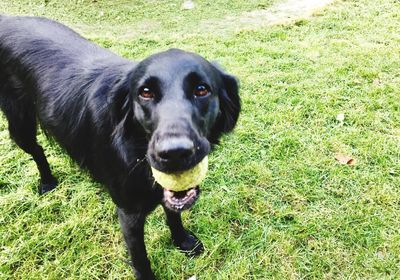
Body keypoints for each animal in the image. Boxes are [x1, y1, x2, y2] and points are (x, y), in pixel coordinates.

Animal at [0, 15, 238, 280]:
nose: (174, 154)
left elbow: (173, 214)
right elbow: (140, 257)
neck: (136, 151)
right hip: (20, 124)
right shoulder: (128, 213)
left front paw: (182, 241)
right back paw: (47, 181)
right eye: (145, 93)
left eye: (201, 90)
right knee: (37, 150)